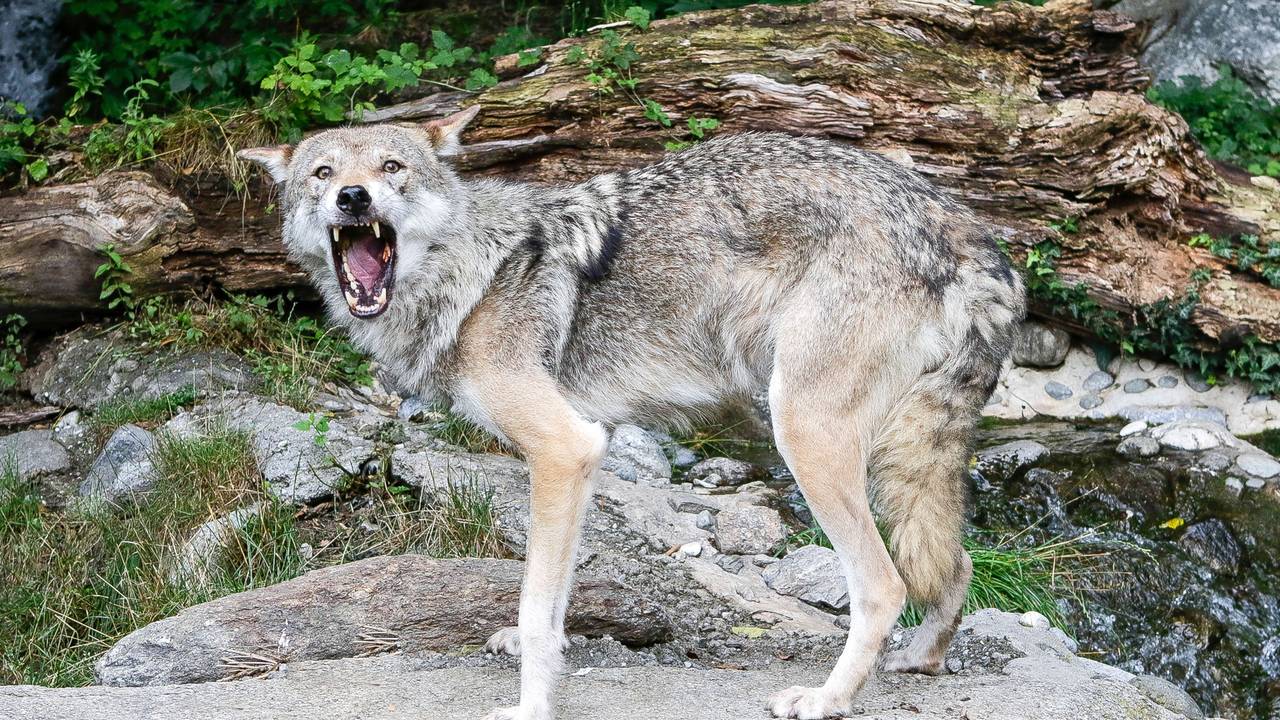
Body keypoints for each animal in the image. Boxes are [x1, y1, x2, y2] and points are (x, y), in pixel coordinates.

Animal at [238, 107, 1025, 720]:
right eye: (321, 172)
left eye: (393, 166)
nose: (353, 198)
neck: (476, 273)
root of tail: (963, 227)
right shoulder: (589, 454)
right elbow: (554, 596)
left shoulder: (564, 449)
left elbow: (534, 603)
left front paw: (531, 705)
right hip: (904, 459)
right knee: (954, 563)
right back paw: (921, 660)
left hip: (804, 435)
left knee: (885, 586)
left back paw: (828, 699)